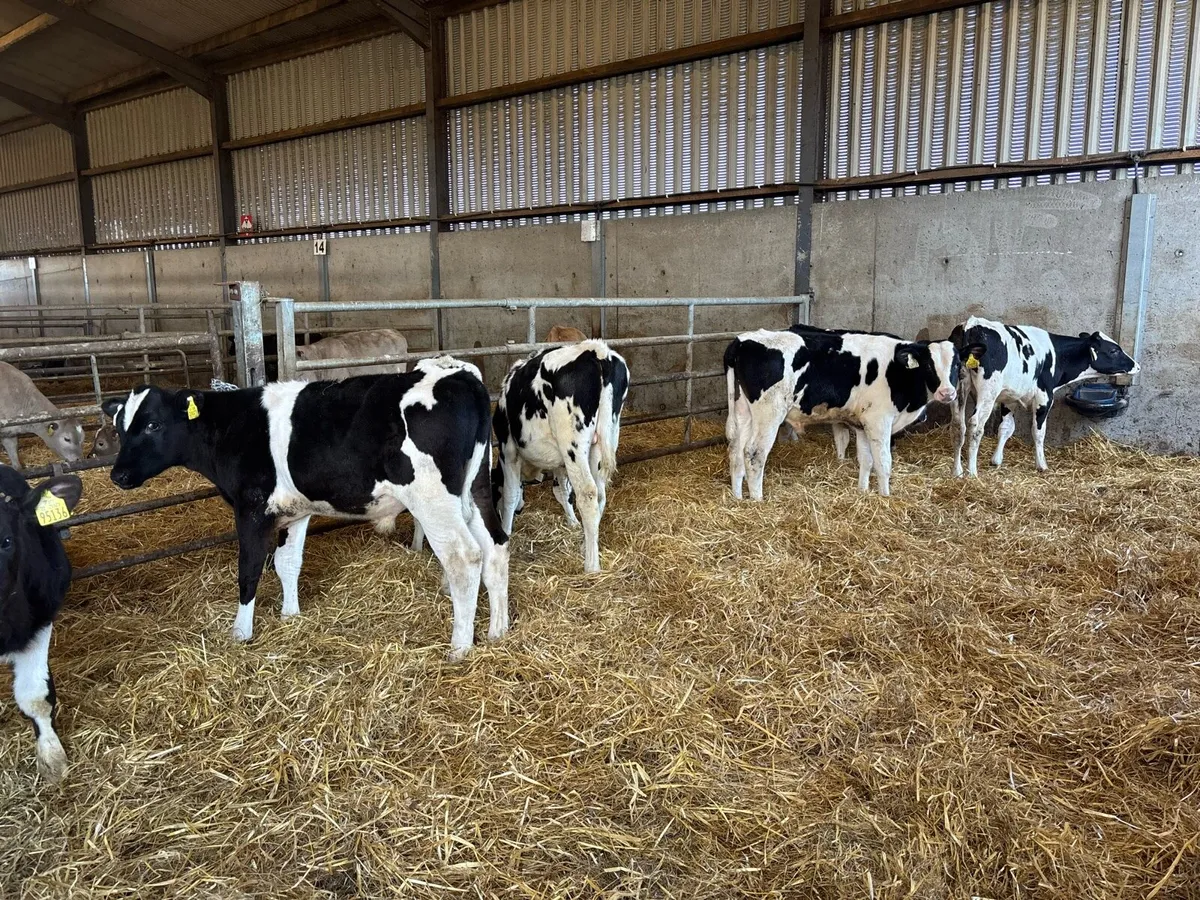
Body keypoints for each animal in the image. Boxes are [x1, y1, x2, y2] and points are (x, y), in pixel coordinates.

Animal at [102, 357, 509, 662]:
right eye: (120, 427)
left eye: (153, 424)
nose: (118, 475)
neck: (232, 425)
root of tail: (460, 375)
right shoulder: (295, 511)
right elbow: (287, 563)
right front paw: (290, 615)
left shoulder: (251, 508)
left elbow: (249, 570)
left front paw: (241, 632)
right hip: (476, 489)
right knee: (496, 545)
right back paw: (498, 631)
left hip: (433, 498)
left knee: (464, 557)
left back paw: (460, 647)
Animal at [493, 340, 629, 573]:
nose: (521, 510)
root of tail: (597, 351)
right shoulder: (559, 462)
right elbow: (561, 490)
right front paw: (573, 522)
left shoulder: (508, 449)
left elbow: (510, 494)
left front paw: (506, 532)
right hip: (604, 439)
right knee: (600, 493)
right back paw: (587, 543)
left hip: (573, 444)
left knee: (588, 493)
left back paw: (592, 565)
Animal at [725, 328, 959, 499]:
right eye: (929, 365)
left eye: (957, 365)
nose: (947, 393)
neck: (897, 371)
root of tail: (742, 340)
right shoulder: (879, 421)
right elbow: (883, 462)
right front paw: (885, 497)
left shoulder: (863, 424)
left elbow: (866, 460)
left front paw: (863, 491)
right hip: (769, 413)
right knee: (754, 453)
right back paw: (757, 500)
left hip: (743, 410)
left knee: (736, 450)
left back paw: (738, 498)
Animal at [950, 317, 1139, 476]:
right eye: (1114, 350)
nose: (1137, 365)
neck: (1057, 356)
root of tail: (972, 323)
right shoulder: (1044, 397)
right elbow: (1038, 432)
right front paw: (1041, 465)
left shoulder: (1010, 398)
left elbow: (1006, 428)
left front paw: (996, 460)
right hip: (988, 392)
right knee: (975, 425)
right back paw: (972, 472)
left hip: (957, 390)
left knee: (958, 425)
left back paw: (957, 471)